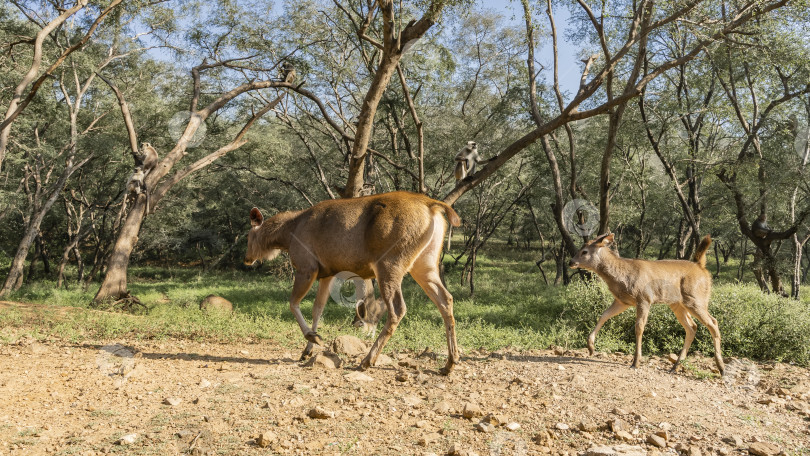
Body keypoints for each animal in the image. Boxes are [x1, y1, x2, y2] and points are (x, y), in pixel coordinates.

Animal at [243, 191, 460, 374]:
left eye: (248, 236)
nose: (246, 258)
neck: (288, 235)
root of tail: (433, 206)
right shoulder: (327, 273)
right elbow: (317, 309)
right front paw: (308, 349)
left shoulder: (307, 267)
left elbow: (293, 303)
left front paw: (312, 337)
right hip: (425, 263)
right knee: (446, 299)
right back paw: (449, 363)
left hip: (389, 263)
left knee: (398, 309)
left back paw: (367, 361)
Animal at [564, 233, 724, 372]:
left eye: (584, 251)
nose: (571, 262)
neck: (621, 277)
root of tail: (701, 267)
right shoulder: (622, 301)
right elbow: (603, 315)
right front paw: (590, 347)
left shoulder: (644, 298)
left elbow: (639, 327)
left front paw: (636, 362)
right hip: (678, 304)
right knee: (692, 327)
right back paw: (675, 366)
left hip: (695, 298)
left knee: (713, 322)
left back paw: (721, 367)